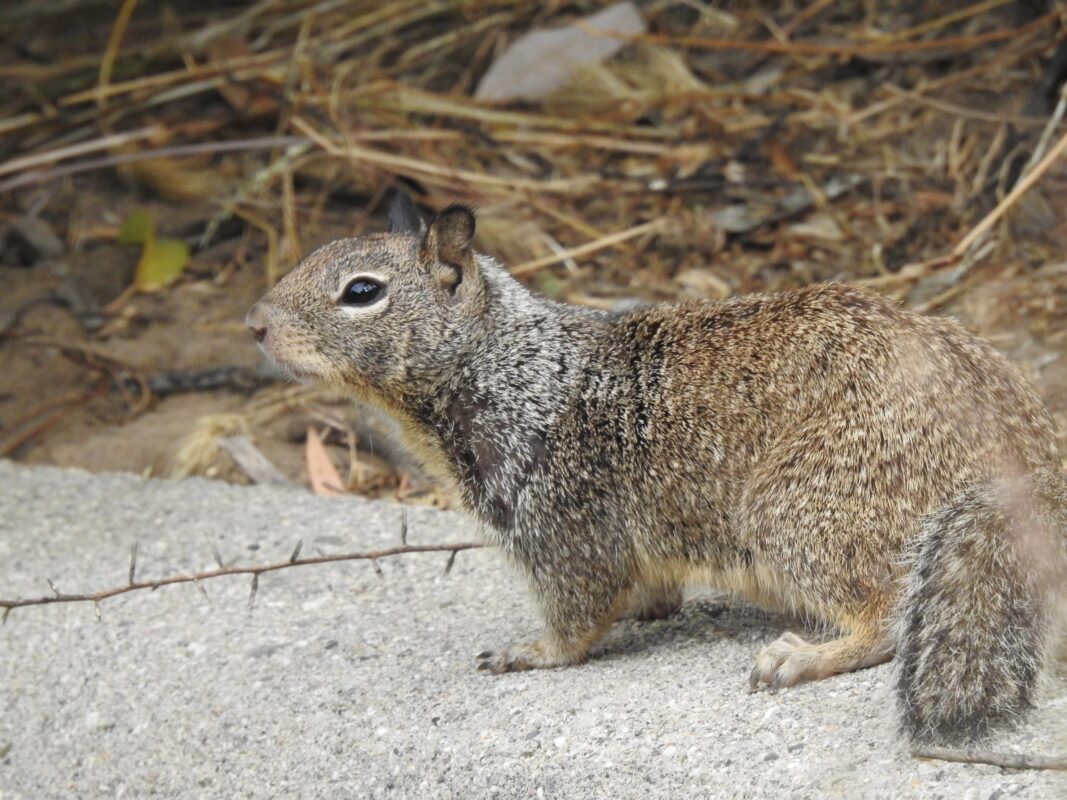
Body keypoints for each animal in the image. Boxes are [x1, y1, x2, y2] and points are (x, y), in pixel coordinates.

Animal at [246, 193, 1067, 744]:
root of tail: (1029, 458)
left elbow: (577, 613)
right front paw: (651, 606)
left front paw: (530, 652)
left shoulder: (559, 518)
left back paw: (802, 657)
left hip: (802, 507)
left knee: (886, 617)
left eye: (361, 291)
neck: (508, 365)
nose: (253, 324)